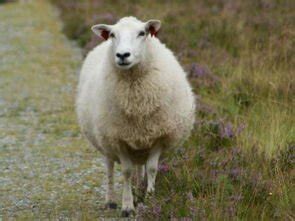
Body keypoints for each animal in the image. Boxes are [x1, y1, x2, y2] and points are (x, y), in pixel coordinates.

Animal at [76, 16, 197, 217]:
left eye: (142, 33)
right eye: (112, 34)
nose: (122, 55)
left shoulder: (159, 137)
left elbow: (152, 168)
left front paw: (149, 199)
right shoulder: (118, 139)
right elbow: (125, 171)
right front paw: (127, 206)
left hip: (140, 144)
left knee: (139, 168)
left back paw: (139, 190)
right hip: (105, 140)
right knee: (110, 168)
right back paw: (111, 200)